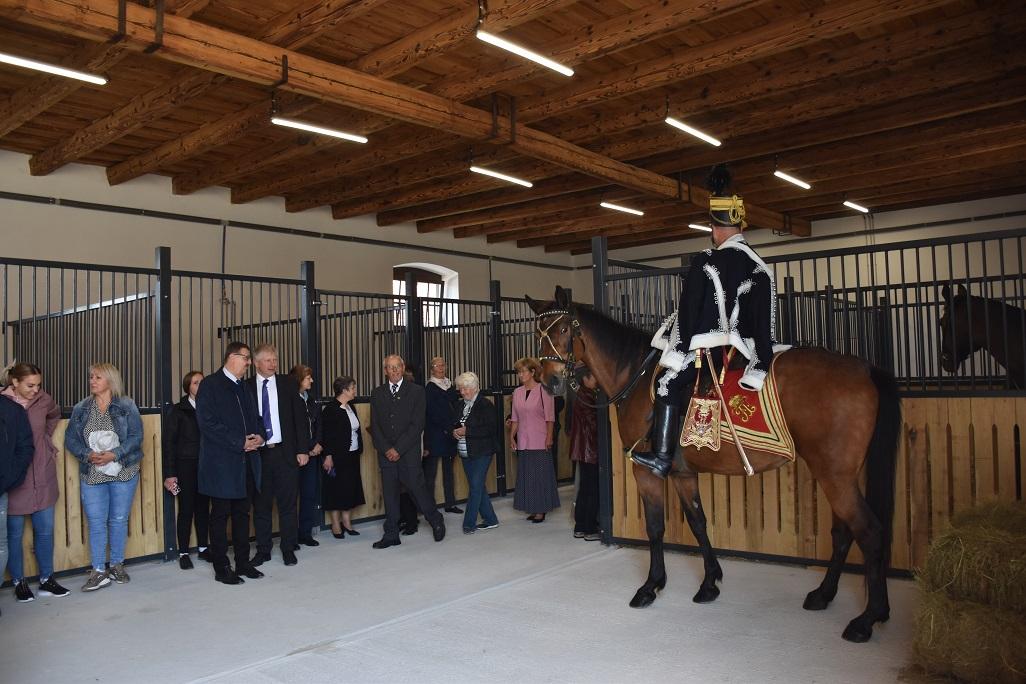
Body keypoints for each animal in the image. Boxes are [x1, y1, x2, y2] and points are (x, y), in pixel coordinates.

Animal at [525, 287, 902, 644]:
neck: (636, 373)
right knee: (843, 533)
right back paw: (824, 595)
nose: (550, 381)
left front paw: (651, 586)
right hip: (840, 476)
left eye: (562, 329)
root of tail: (863, 367)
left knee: (870, 532)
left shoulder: (645, 471)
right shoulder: (682, 474)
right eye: (537, 333)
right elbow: (698, 523)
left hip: (835, 477)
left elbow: (656, 527)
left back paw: (867, 619)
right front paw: (709, 583)